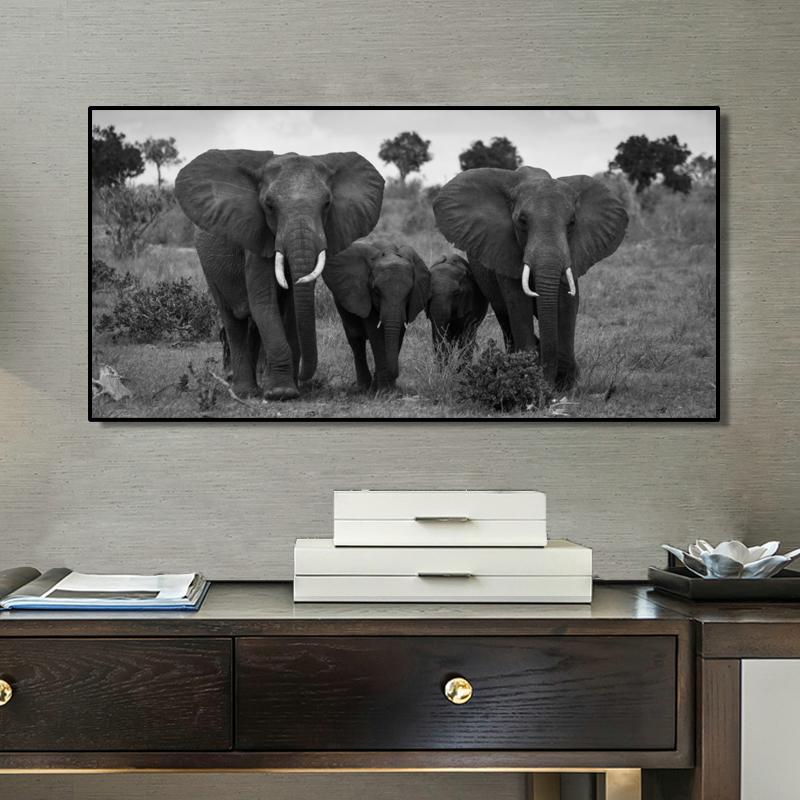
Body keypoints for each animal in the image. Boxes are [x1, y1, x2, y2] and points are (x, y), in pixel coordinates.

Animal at [175, 150, 384, 400]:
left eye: (327, 204)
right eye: (269, 205)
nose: (303, 375)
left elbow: (291, 307)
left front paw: (289, 389)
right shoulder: (256, 236)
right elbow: (263, 301)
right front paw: (281, 393)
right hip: (209, 268)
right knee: (232, 318)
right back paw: (245, 392)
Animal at [324, 239, 430, 392]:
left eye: (409, 293)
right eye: (376, 291)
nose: (396, 375)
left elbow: (398, 334)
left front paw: (388, 389)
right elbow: (376, 335)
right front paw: (384, 391)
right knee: (355, 338)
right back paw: (363, 388)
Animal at [433, 166, 628, 389]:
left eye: (572, 222)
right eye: (522, 221)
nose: (549, 384)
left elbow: (567, 304)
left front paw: (566, 383)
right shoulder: (505, 252)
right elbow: (518, 303)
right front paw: (528, 375)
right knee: (505, 318)